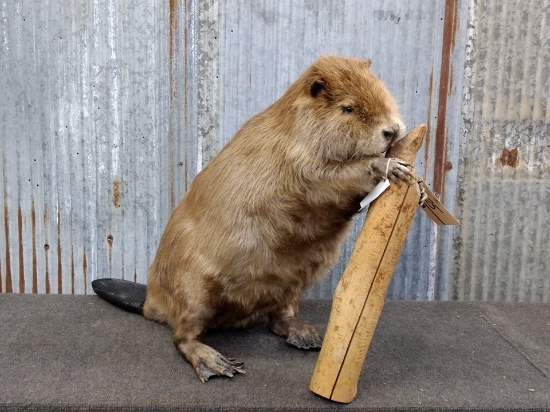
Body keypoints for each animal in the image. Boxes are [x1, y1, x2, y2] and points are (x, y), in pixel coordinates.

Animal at [92, 55, 420, 384]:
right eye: (348, 108)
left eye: (380, 89)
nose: (392, 130)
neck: (293, 128)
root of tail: (150, 302)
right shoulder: (294, 161)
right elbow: (326, 177)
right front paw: (388, 165)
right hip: (195, 289)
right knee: (182, 335)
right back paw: (216, 363)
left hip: (292, 284)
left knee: (278, 318)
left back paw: (307, 335)